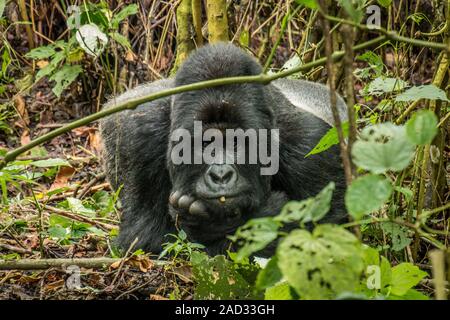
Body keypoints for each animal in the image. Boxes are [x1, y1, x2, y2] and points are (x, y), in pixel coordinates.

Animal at [100, 43, 348, 256]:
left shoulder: (312, 145)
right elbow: (144, 236)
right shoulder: (139, 137)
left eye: (237, 142)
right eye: (205, 144)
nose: (221, 175)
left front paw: (211, 224)